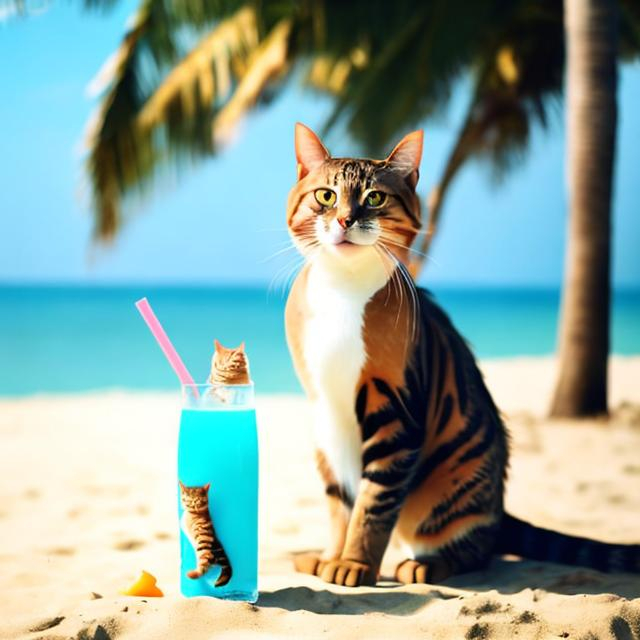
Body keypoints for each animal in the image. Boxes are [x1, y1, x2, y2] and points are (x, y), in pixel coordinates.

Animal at [284, 122, 640, 588]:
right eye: (326, 196)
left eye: (375, 198)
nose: (345, 219)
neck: (341, 293)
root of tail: (501, 507)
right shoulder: (327, 414)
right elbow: (339, 499)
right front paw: (331, 556)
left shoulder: (396, 413)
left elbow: (373, 503)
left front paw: (355, 564)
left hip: (452, 485)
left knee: (478, 547)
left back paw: (428, 564)